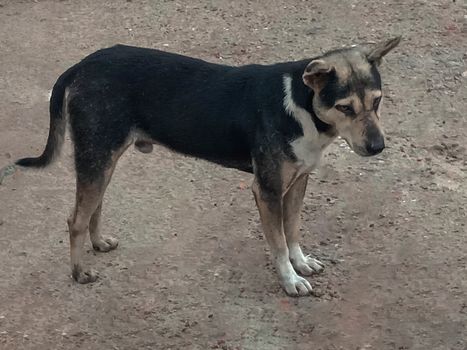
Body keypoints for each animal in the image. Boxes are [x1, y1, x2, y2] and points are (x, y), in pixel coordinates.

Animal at [16, 37, 400, 296]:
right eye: (345, 107)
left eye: (377, 102)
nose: (377, 147)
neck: (299, 104)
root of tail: (81, 66)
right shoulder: (267, 190)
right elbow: (277, 242)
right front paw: (290, 279)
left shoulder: (298, 182)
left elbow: (292, 231)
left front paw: (301, 262)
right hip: (97, 156)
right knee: (76, 219)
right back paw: (80, 272)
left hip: (103, 158)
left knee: (93, 207)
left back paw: (98, 243)